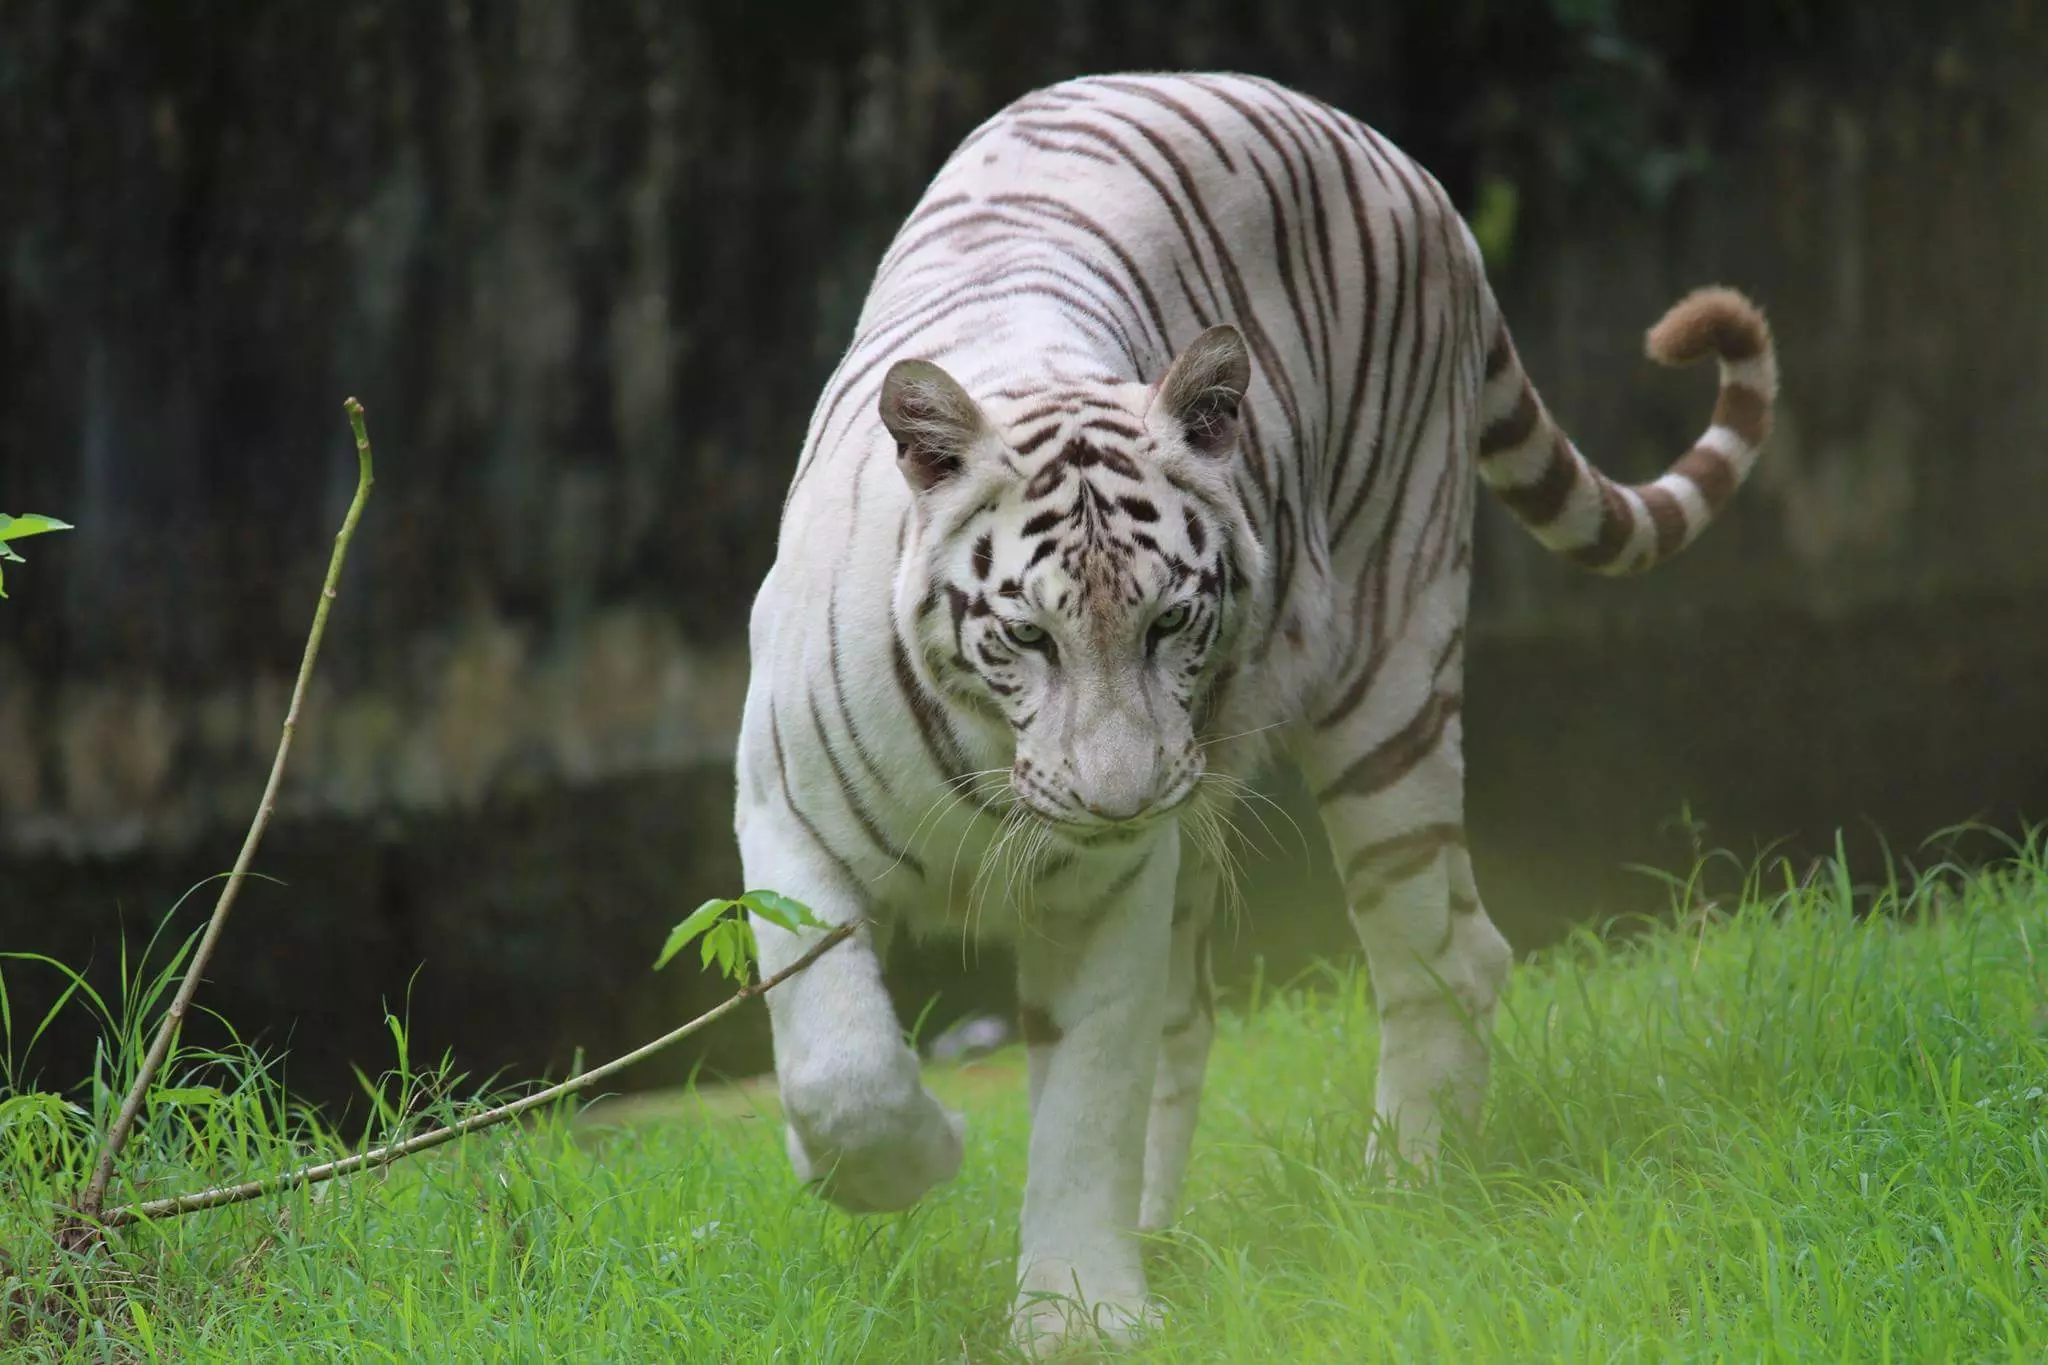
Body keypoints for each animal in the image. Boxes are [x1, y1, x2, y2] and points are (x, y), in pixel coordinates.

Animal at [737, 69, 1777, 1350]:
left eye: (1169, 623)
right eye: (1026, 637)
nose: (1119, 798)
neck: (991, 757)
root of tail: (1389, 154)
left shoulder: (1107, 883)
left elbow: (1086, 1094)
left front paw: (1076, 1316)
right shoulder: (788, 814)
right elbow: (838, 1062)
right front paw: (898, 1160)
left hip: (1385, 680)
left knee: (1445, 951)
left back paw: (1407, 1195)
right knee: (1210, 1013)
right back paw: (1170, 1231)